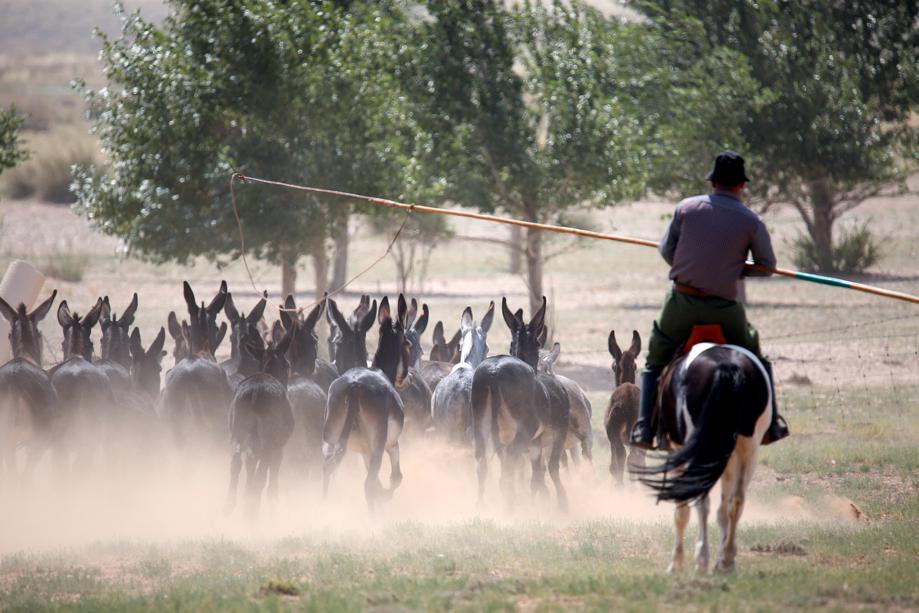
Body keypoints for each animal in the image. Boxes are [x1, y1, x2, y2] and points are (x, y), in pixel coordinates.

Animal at [632, 344, 768, 572]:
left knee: (702, 501)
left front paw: (676, 562)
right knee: (736, 501)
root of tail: (726, 366)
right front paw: (722, 557)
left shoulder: (678, 450)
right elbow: (724, 508)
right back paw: (726, 559)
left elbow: (682, 509)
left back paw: (702, 558)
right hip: (749, 448)